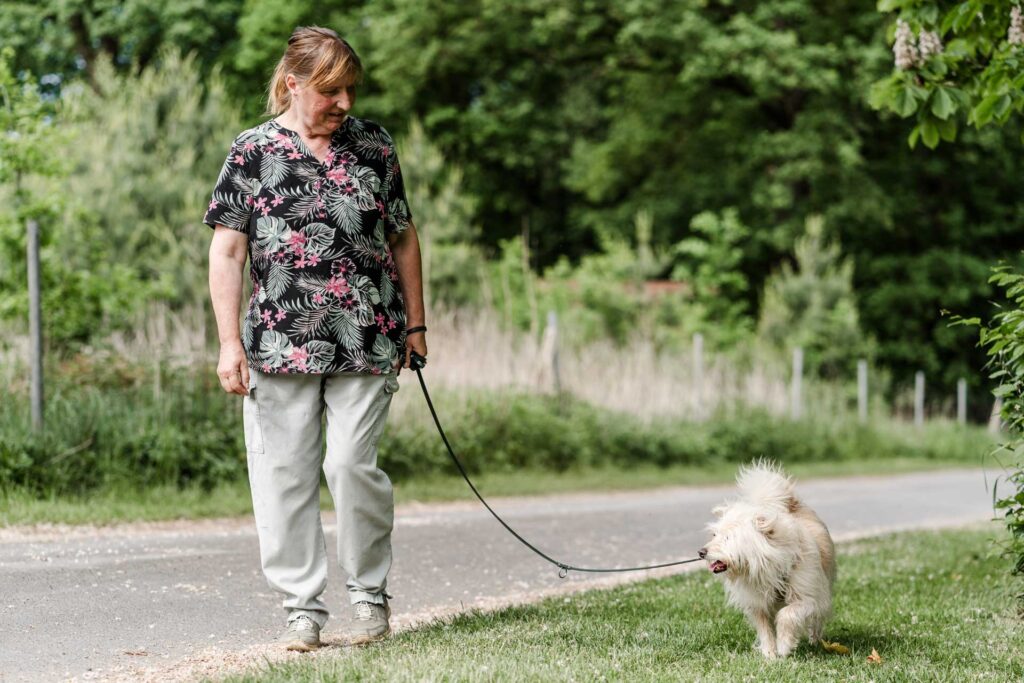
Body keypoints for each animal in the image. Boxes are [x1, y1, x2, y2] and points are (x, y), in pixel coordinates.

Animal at [700, 462, 835, 659]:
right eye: (714, 535)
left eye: (729, 538)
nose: (701, 552)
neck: (769, 567)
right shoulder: (757, 604)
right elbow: (765, 629)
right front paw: (770, 654)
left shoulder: (809, 597)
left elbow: (787, 614)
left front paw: (784, 645)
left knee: (817, 618)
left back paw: (815, 639)